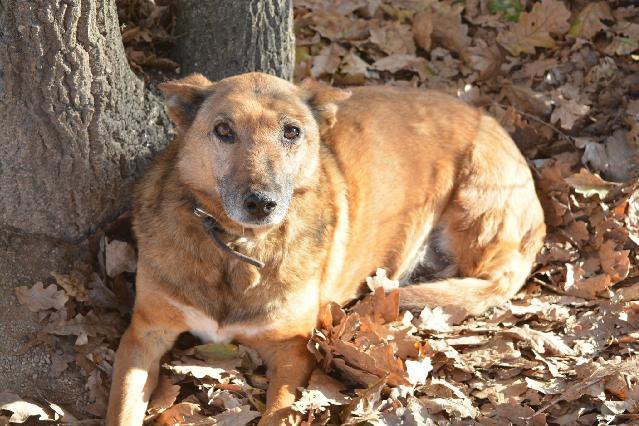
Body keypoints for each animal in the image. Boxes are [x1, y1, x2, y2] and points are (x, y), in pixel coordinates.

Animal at [105, 71, 544, 424]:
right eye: (224, 130)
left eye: (291, 132)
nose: (261, 203)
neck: (239, 247)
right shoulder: (144, 335)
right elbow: (122, 409)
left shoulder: (292, 351)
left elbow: (279, 414)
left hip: (474, 210)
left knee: (491, 276)